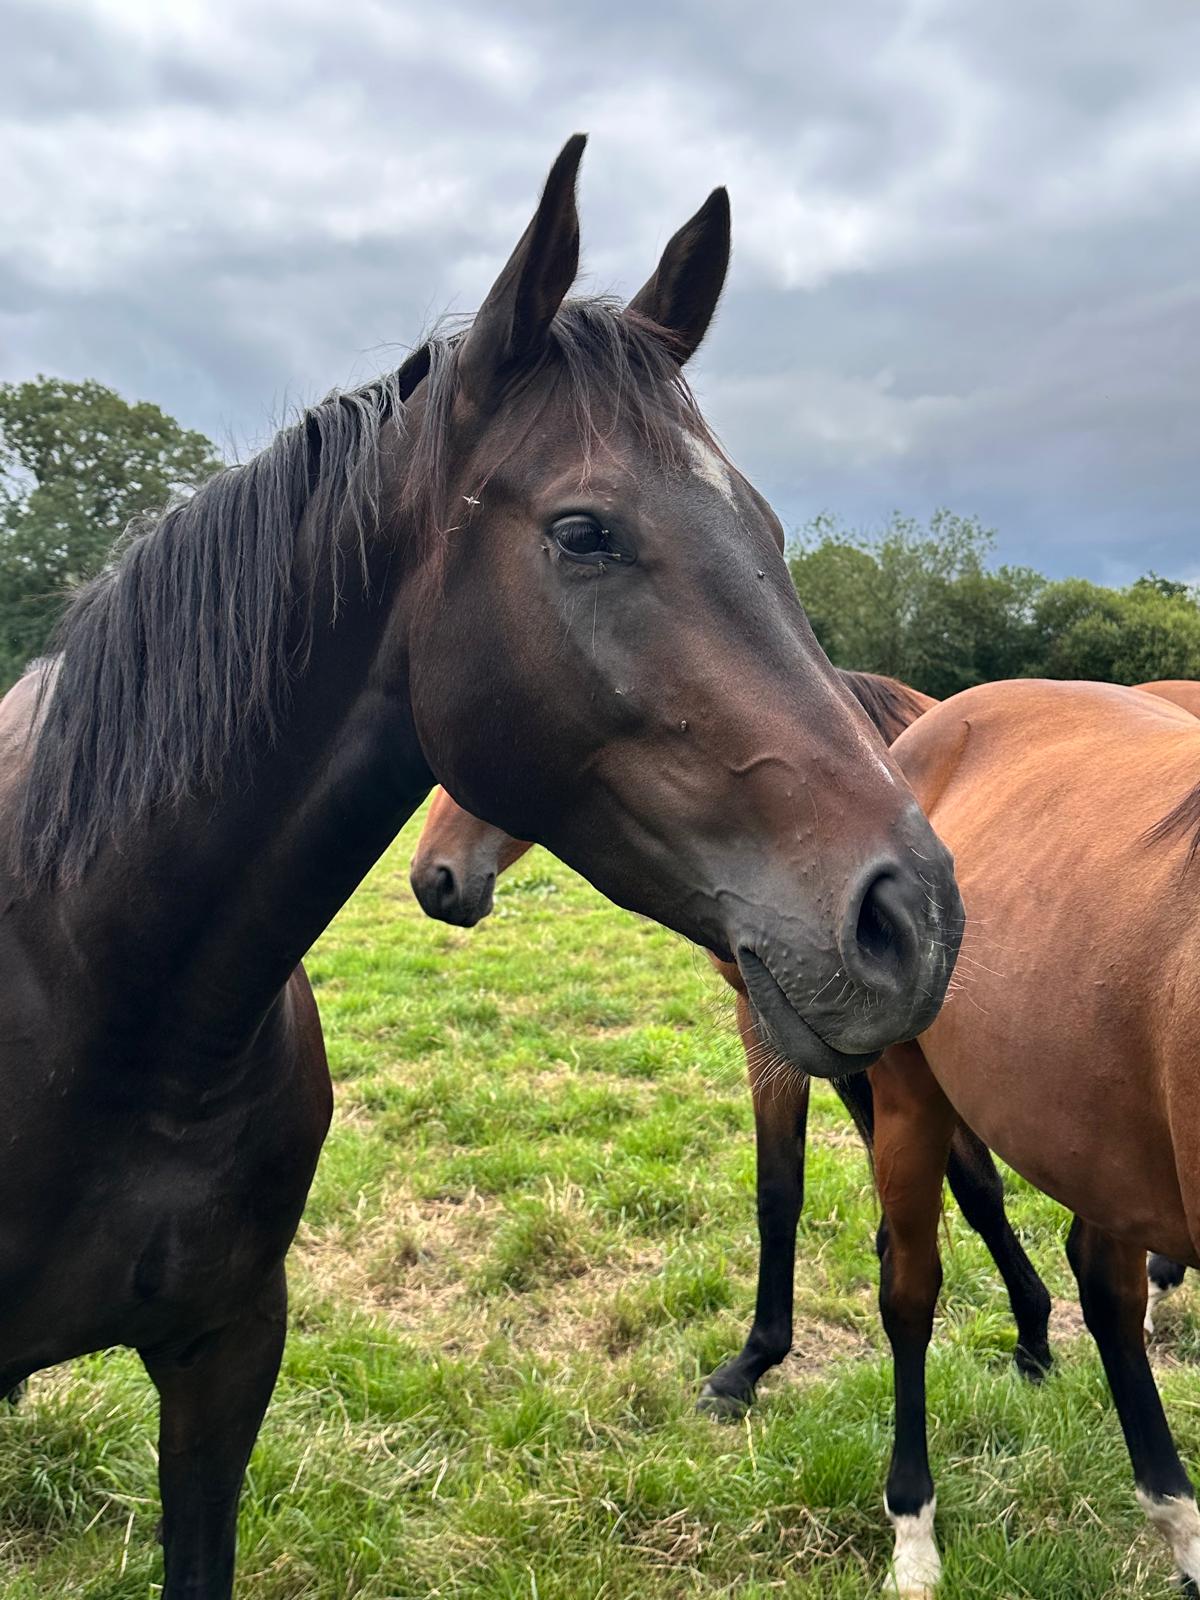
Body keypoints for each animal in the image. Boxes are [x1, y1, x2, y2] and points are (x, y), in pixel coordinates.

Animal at [411, 669, 1054, 1415]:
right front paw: (755, 1360)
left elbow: (972, 1184)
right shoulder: (788, 1030)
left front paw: (1033, 1331)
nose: (433, 878)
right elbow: (784, 1187)